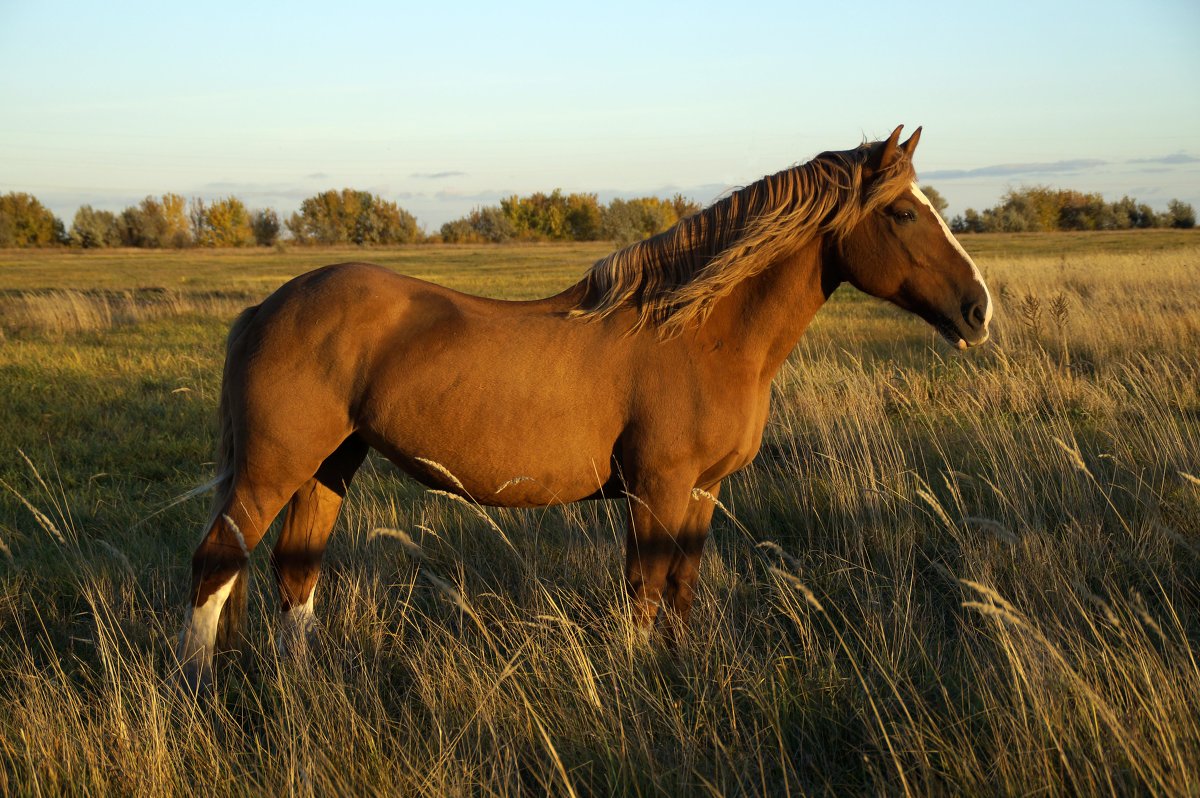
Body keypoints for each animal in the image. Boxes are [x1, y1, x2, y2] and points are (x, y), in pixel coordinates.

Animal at [171, 123, 993, 686]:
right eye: (903, 214)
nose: (979, 309)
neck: (696, 331)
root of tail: (268, 307)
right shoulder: (657, 491)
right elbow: (643, 592)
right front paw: (638, 687)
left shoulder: (701, 493)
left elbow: (681, 592)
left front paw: (678, 679)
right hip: (274, 468)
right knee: (216, 561)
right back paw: (198, 691)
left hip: (330, 465)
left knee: (294, 572)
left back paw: (304, 690)